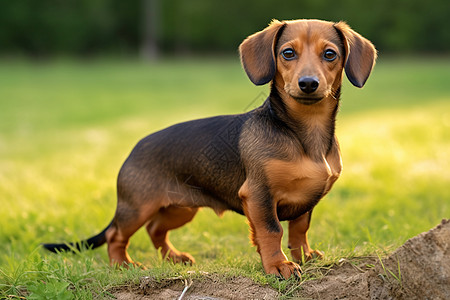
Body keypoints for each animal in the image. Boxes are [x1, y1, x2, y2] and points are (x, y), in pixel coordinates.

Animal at [44, 19, 376, 278]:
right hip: (138, 206)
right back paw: (122, 265)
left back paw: (174, 258)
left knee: (155, 230)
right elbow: (272, 231)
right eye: (288, 53)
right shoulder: (259, 195)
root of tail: (136, 146)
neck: (303, 133)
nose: (308, 83)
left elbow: (299, 229)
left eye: (330, 54)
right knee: (116, 234)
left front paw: (304, 256)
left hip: (180, 209)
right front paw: (279, 266)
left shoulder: (306, 199)